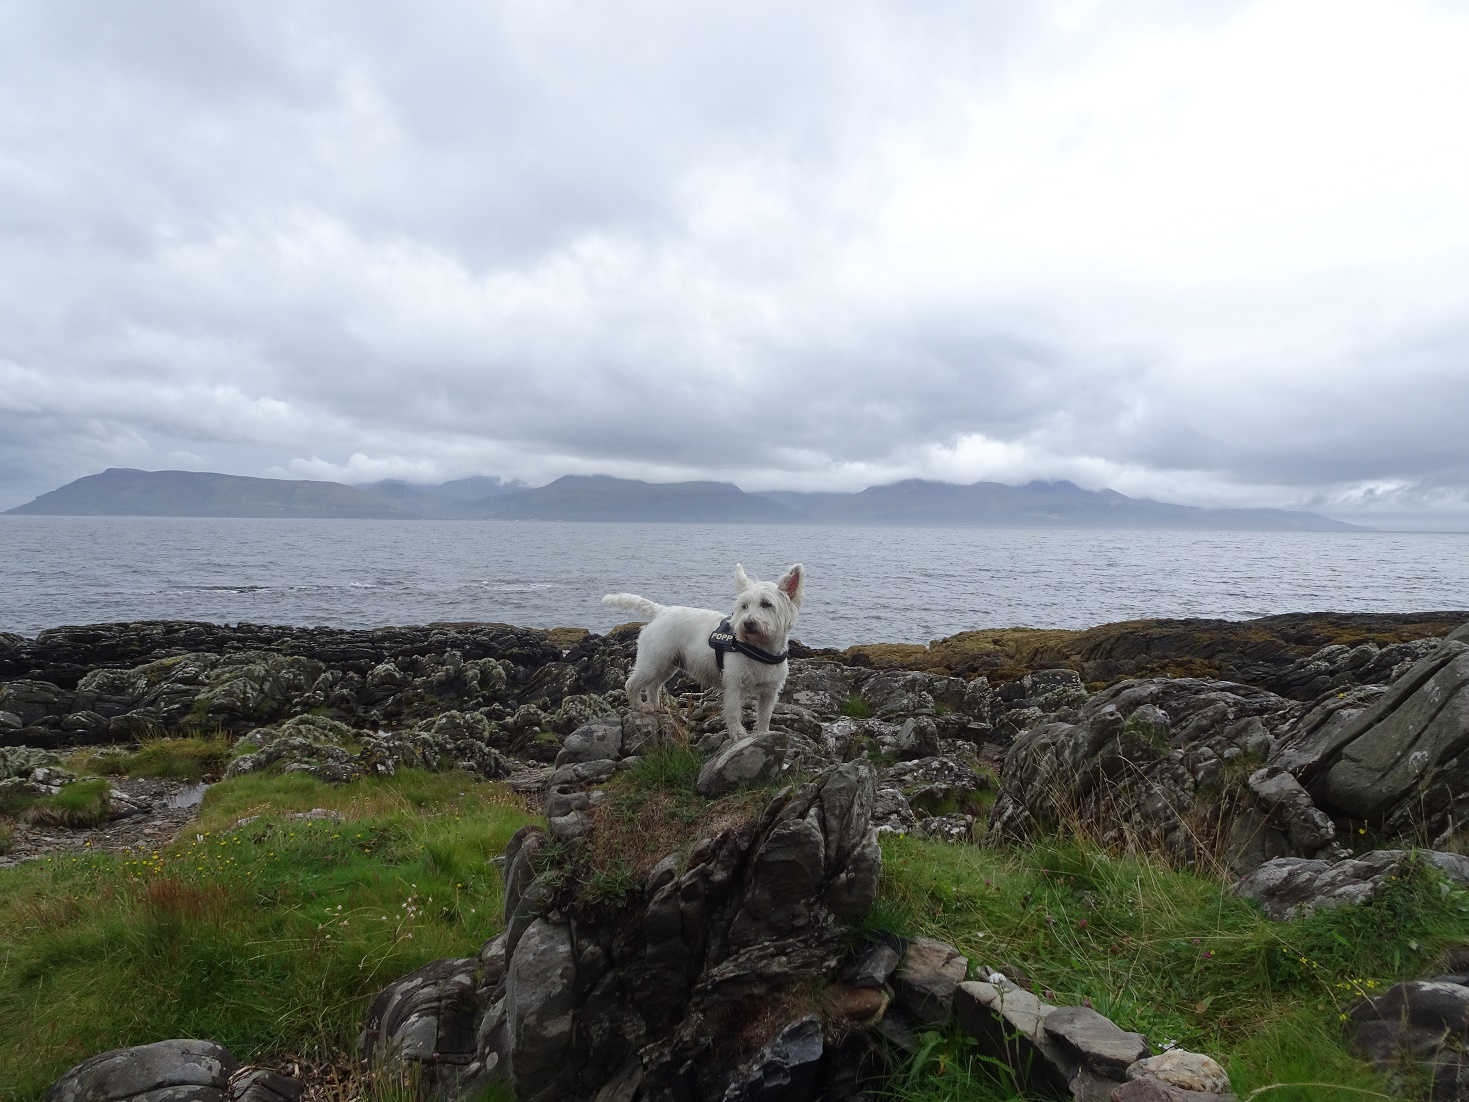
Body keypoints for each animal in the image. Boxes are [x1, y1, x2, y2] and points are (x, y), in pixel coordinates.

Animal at [599, 564, 805, 737]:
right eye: (744, 606)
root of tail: (662, 612)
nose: (747, 623)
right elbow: (733, 711)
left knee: (653, 685)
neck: (759, 649)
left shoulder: (770, 692)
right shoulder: (734, 686)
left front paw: (763, 734)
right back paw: (638, 707)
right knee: (632, 684)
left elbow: (764, 715)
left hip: (667, 664)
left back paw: (655, 706)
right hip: (653, 662)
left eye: (767, 604)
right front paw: (738, 734)